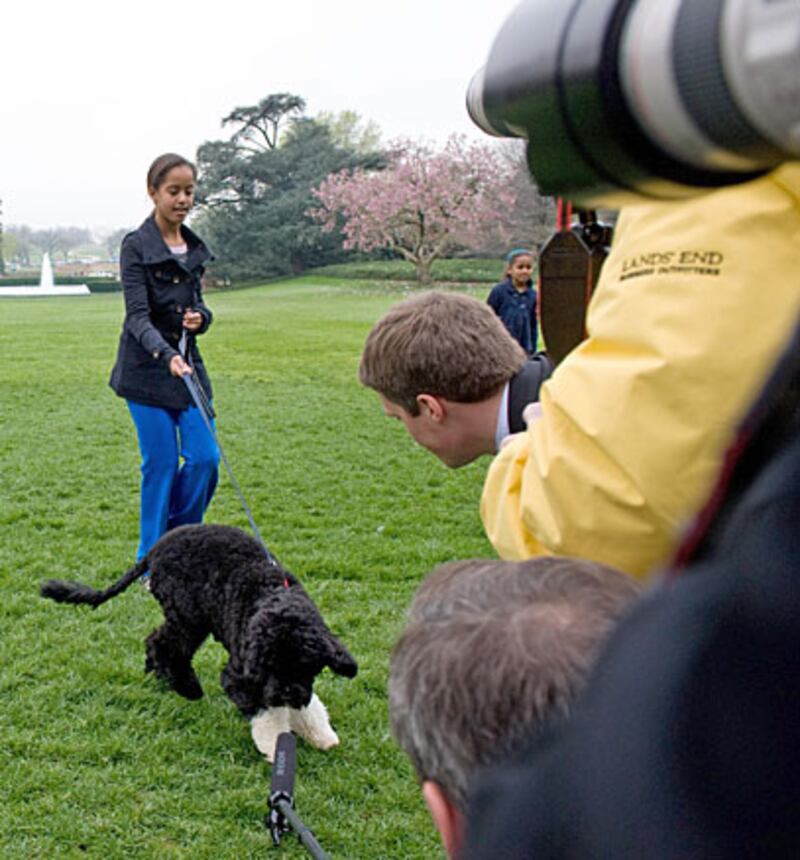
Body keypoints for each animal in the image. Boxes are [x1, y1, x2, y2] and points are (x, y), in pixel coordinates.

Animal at [40, 524, 357, 759]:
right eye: (270, 666)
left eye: (305, 665)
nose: (286, 694)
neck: (274, 598)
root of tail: (154, 550)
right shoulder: (242, 676)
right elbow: (266, 712)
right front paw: (274, 745)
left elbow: (308, 703)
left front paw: (321, 735)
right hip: (187, 615)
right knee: (165, 644)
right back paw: (186, 688)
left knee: (158, 640)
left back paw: (161, 675)